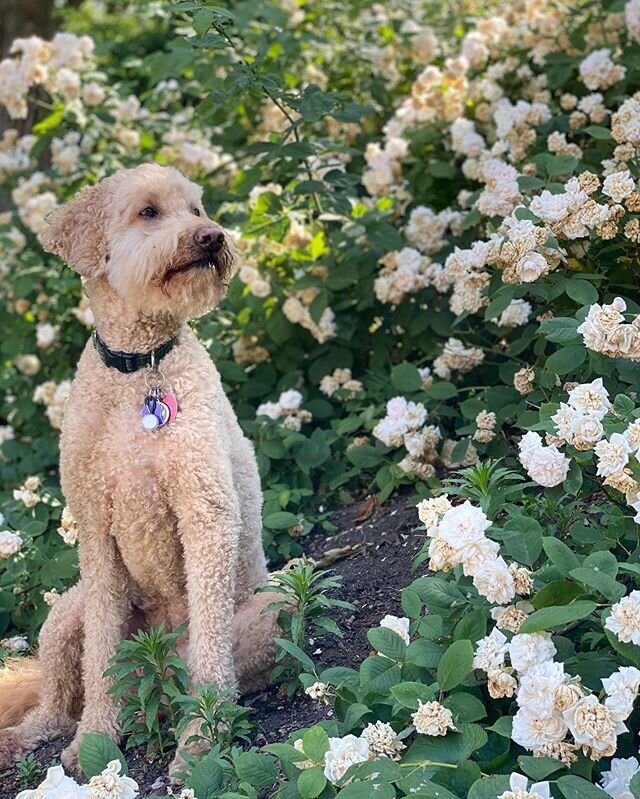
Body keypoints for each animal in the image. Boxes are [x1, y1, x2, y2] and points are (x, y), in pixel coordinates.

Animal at [0, 162, 280, 776]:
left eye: (196, 210)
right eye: (149, 212)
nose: (212, 237)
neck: (139, 366)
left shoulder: (205, 513)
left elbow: (210, 659)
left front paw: (201, 741)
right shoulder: (96, 534)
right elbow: (102, 655)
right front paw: (95, 740)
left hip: (269, 613)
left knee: (202, 671)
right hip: (64, 616)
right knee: (58, 703)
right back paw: (30, 737)